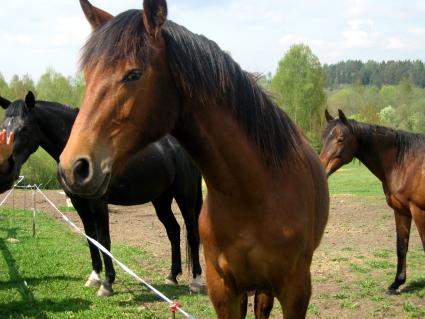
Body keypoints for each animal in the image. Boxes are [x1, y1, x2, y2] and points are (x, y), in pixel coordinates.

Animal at [0, 92, 204, 298]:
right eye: (3, 127)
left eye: (24, 127)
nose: (8, 169)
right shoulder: (79, 201)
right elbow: (91, 237)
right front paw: (94, 277)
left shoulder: (98, 201)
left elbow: (104, 239)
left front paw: (107, 284)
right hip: (161, 200)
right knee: (173, 230)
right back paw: (172, 276)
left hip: (185, 197)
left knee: (192, 233)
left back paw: (196, 281)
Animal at [57, 1, 328, 318]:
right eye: (88, 75)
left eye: (133, 74)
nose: (73, 167)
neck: (256, 193)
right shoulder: (224, 290)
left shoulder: (296, 292)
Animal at [322, 109, 424, 296]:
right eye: (323, 137)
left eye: (341, 138)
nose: (320, 168)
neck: (405, 162)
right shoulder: (401, 211)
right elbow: (401, 247)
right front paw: (396, 284)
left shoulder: (419, 211)